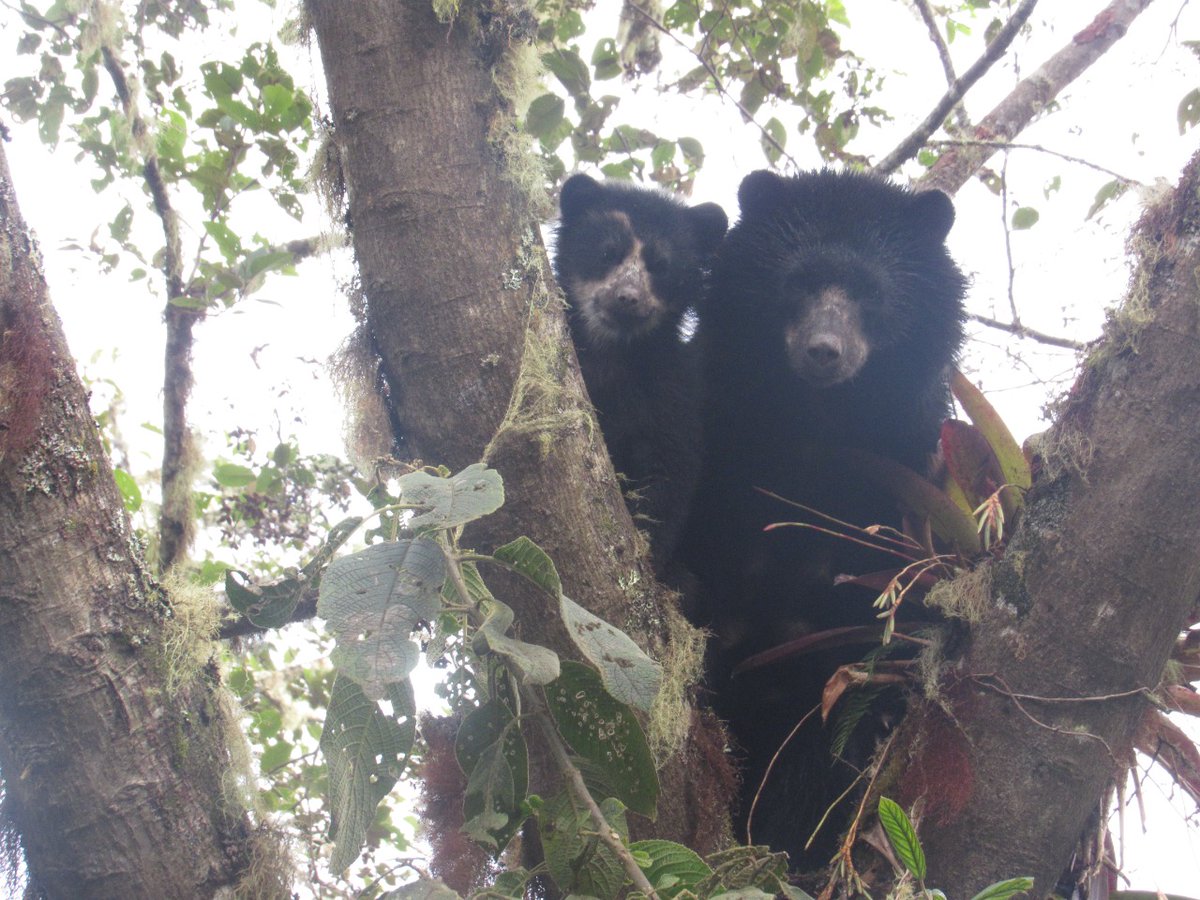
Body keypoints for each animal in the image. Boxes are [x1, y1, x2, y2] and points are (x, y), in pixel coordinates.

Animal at [554, 173, 728, 571]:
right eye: (608, 253)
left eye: (661, 265)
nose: (627, 298)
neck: (612, 351)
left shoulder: (670, 388)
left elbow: (669, 466)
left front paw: (647, 545)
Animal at [679, 169, 968, 870]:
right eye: (800, 283)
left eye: (871, 293)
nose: (823, 351)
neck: (815, 423)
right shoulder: (711, 419)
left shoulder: (909, 470)